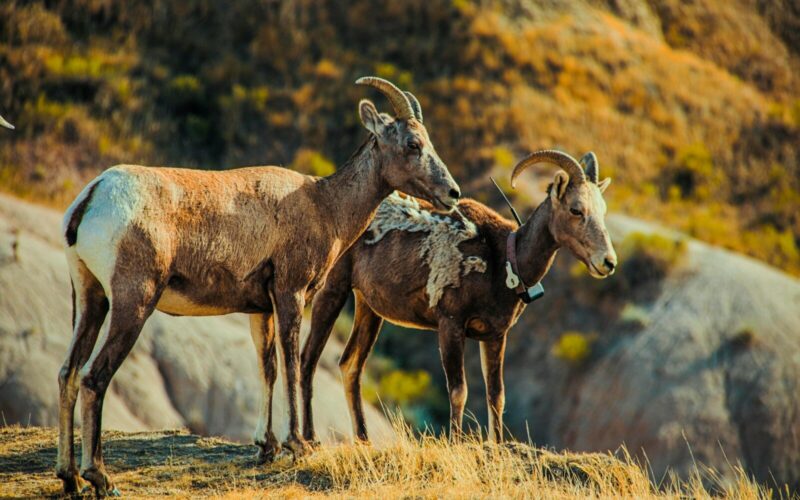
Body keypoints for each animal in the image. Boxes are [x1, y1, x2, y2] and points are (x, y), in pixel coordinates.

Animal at [56, 77, 460, 496]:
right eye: (412, 144)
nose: (452, 193)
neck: (325, 205)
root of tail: (92, 197)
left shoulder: (260, 310)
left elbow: (268, 368)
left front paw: (267, 447)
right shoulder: (290, 294)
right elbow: (292, 363)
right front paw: (298, 445)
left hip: (89, 298)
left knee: (68, 372)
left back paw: (69, 478)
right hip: (132, 304)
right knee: (93, 377)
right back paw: (100, 478)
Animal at [300, 150, 616, 443]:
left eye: (602, 210)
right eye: (576, 210)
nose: (608, 262)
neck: (503, 262)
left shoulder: (494, 336)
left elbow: (496, 395)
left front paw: (496, 446)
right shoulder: (451, 325)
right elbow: (458, 391)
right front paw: (455, 442)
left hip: (369, 309)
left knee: (350, 365)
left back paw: (364, 440)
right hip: (333, 290)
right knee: (308, 358)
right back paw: (309, 438)